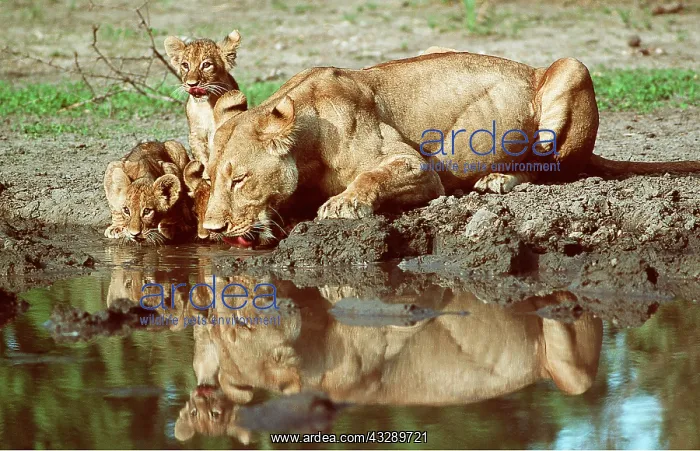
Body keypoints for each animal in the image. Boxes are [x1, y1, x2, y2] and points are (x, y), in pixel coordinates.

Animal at [164, 30, 243, 178]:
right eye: (185, 65)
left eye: (206, 65)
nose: (192, 84)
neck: (207, 106)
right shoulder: (196, 135)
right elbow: (202, 157)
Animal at [202, 51, 700, 240]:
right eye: (209, 180)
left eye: (240, 178)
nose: (209, 230)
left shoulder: (418, 168)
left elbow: (372, 175)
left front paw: (343, 204)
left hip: (571, 68)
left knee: (557, 167)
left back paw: (497, 180)